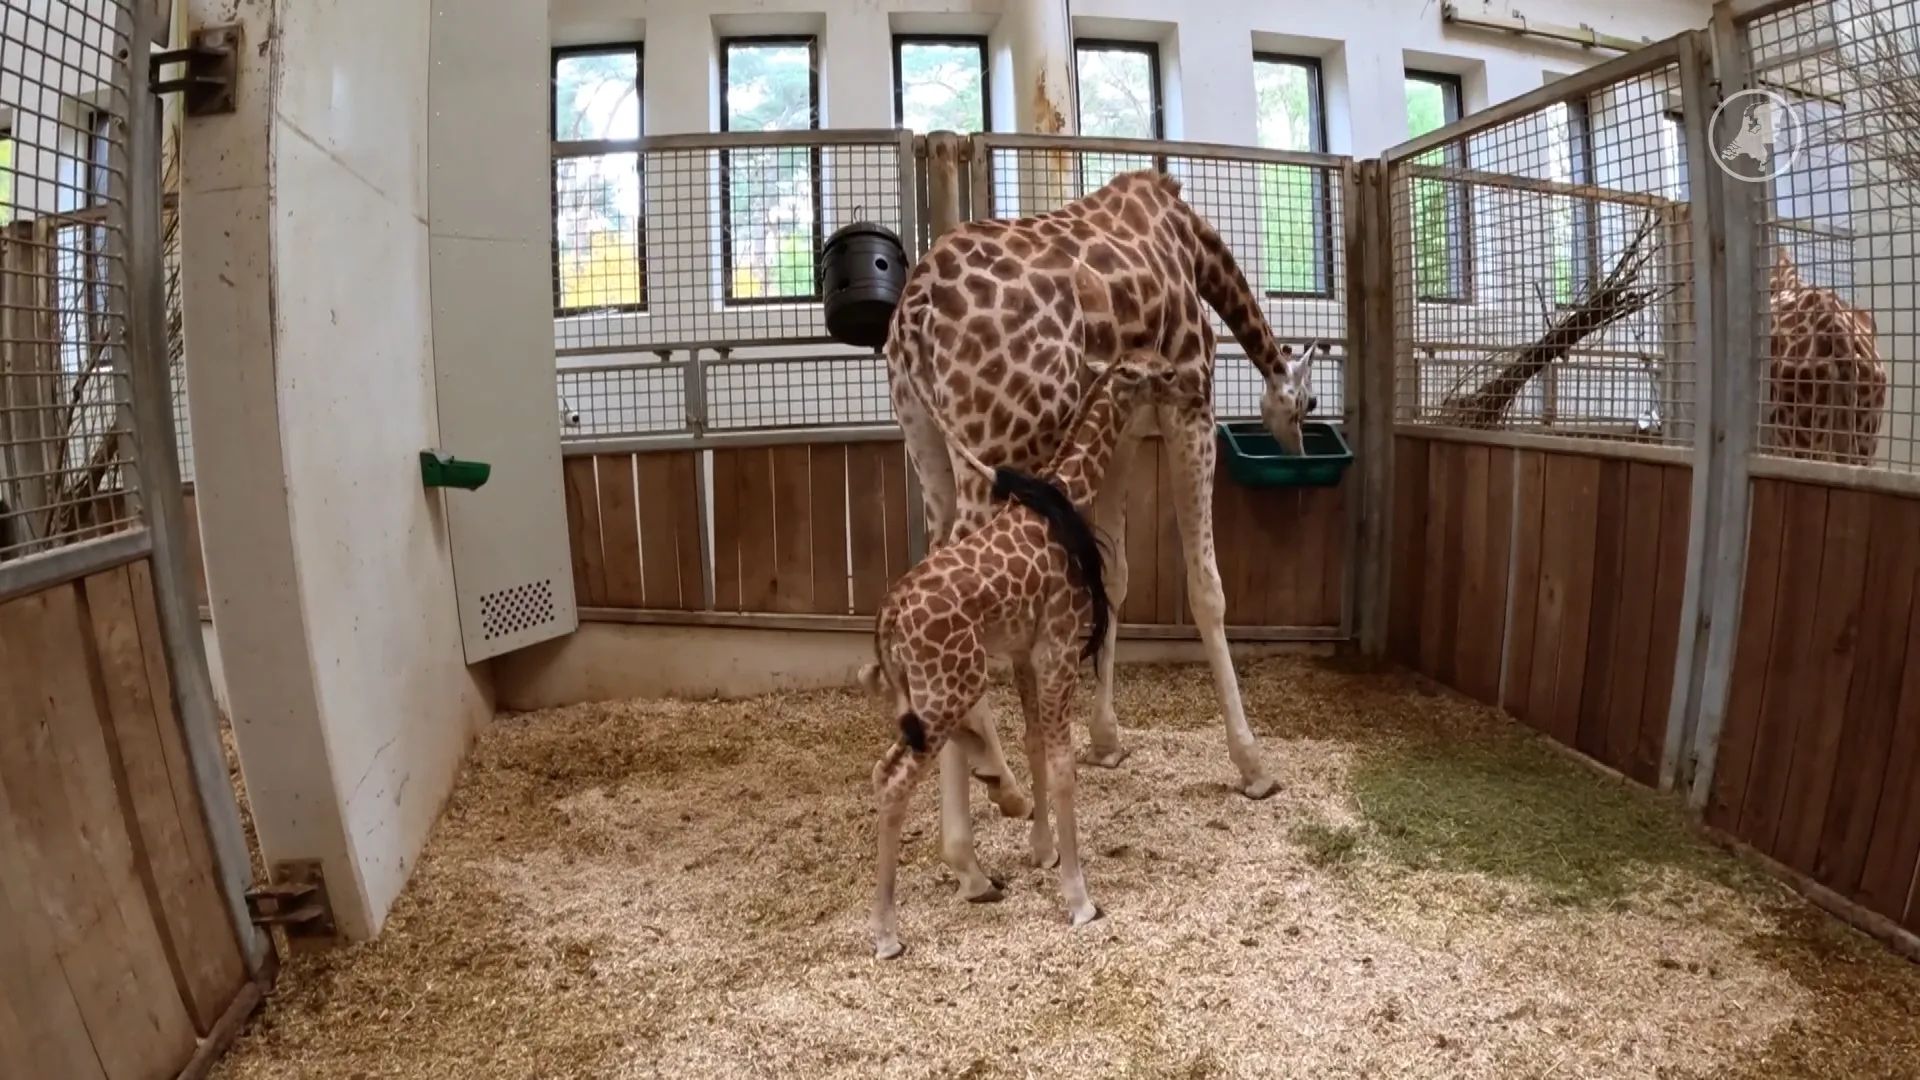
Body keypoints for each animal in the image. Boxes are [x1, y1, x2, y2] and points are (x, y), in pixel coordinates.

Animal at [859, 345, 1192, 960]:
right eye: (1163, 372)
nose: (1192, 391)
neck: (1069, 495)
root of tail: (889, 618)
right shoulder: (1057, 648)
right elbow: (1063, 767)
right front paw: (1081, 901)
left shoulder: (1024, 653)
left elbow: (1038, 747)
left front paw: (1043, 853)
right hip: (951, 684)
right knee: (895, 778)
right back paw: (888, 935)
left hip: (922, 691)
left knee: (881, 770)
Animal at [881, 167, 1318, 903]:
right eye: (1307, 405)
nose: (1303, 446)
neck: (1195, 246)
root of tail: (911, 321)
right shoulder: (1190, 403)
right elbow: (1206, 588)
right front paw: (1253, 764)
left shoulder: (1122, 430)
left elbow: (1113, 577)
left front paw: (1107, 739)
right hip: (996, 444)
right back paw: (980, 827)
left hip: (930, 452)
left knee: (926, 577)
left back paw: (985, 824)